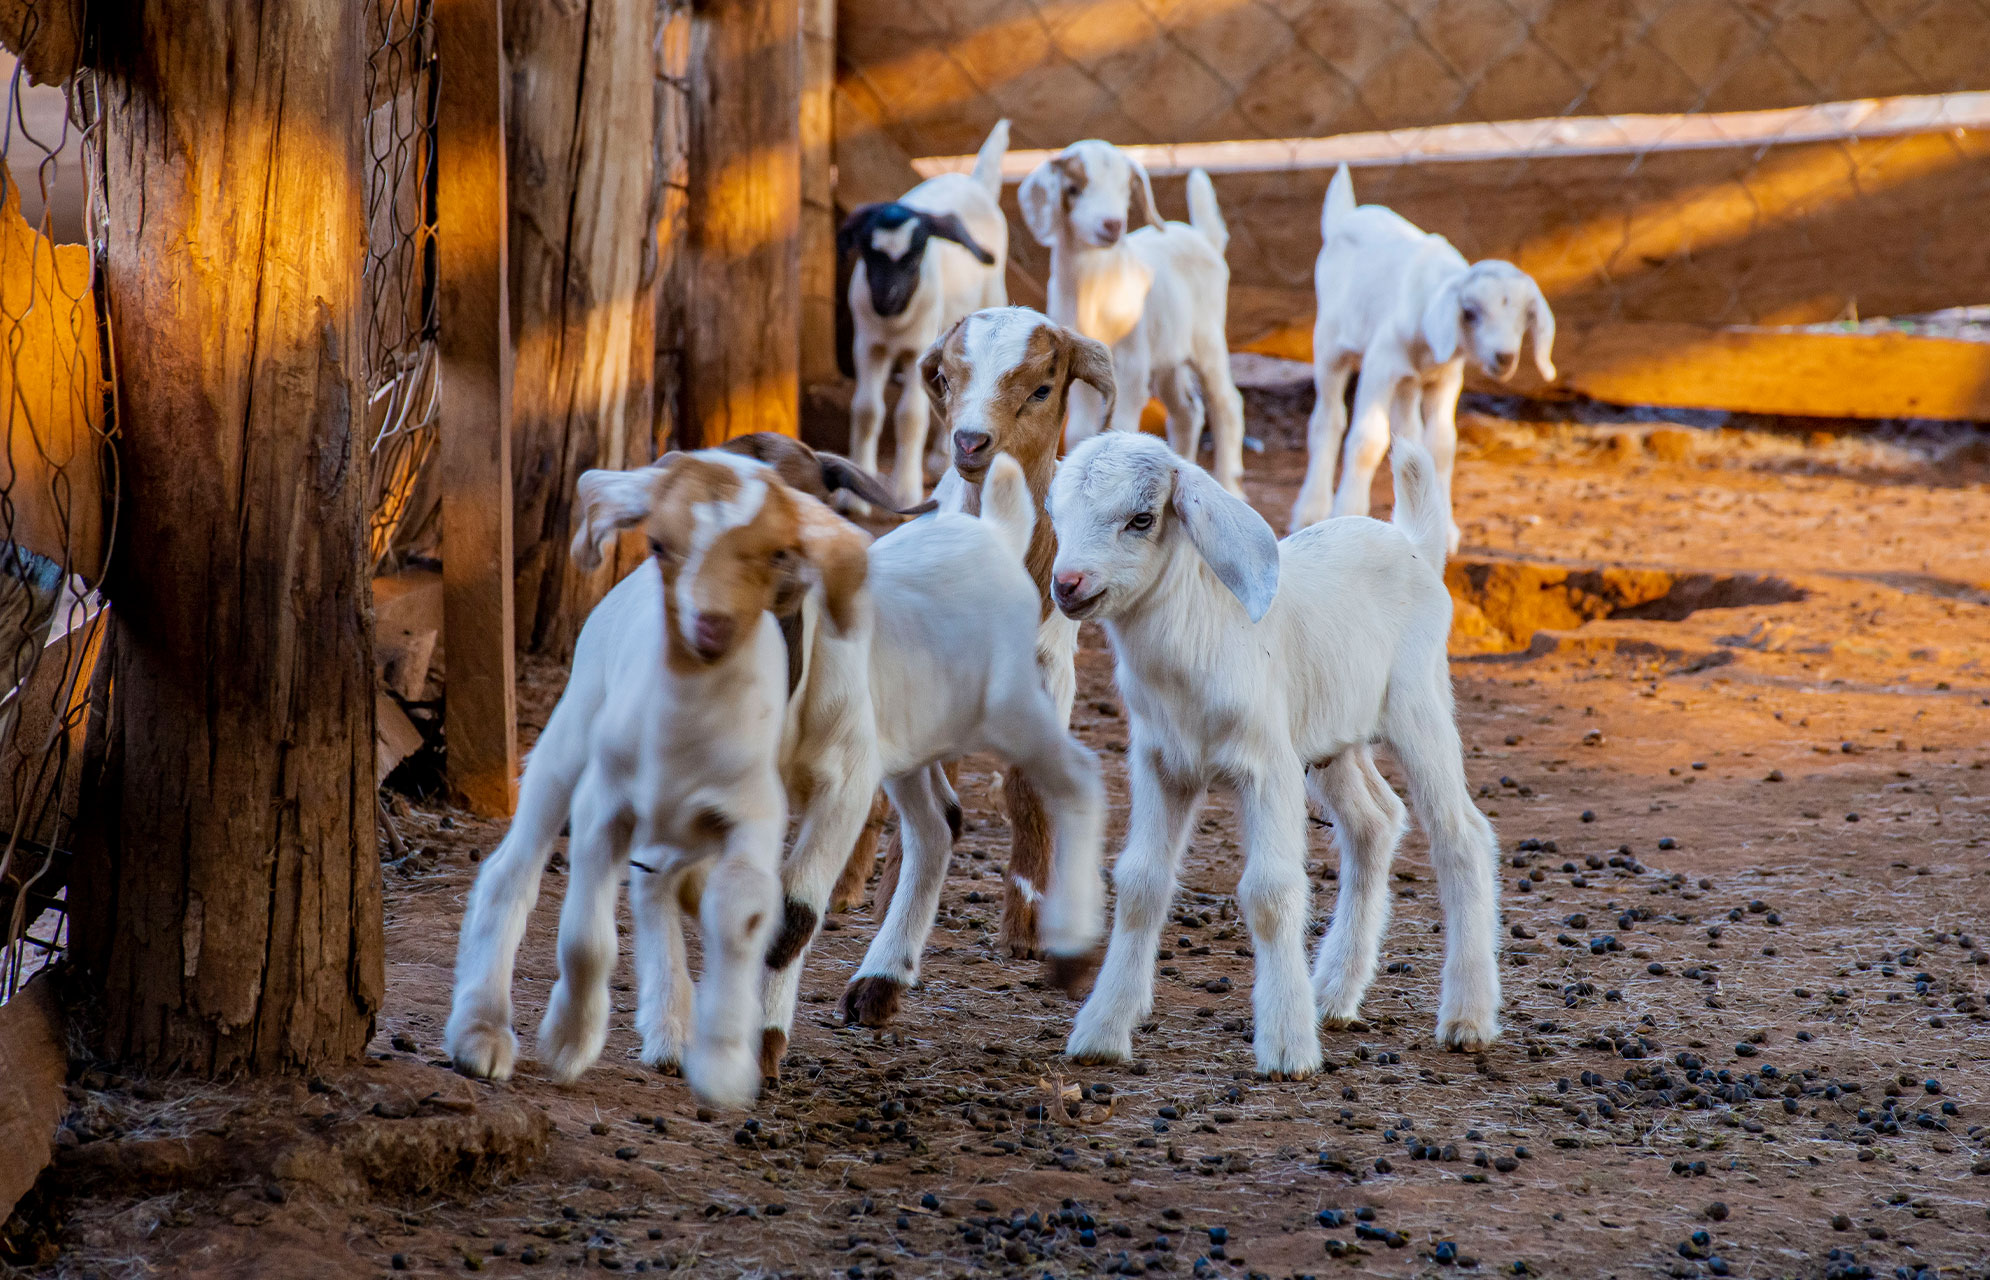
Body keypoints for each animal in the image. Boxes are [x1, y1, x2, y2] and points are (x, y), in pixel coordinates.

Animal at [444, 449, 871, 1108]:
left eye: (782, 553)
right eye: (660, 542)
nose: (711, 625)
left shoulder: (796, 797)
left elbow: (764, 914)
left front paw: (733, 1055)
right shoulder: (605, 805)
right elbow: (587, 935)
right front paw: (569, 1041)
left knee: (663, 885)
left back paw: (675, 1024)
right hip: (570, 737)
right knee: (512, 870)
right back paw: (482, 1032)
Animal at [838, 119, 1011, 510]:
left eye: (916, 255)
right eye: (868, 253)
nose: (886, 300)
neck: (894, 324)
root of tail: (975, 183)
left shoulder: (917, 347)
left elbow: (909, 415)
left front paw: (904, 490)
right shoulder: (867, 345)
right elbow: (865, 410)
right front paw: (855, 493)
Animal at [1017, 141, 1247, 496]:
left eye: (1126, 189)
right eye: (1073, 188)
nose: (1112, 224)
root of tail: (1203, 238)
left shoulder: (1130, 364)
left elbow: (1118, 428)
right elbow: (1079, 430)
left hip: (1207, 337)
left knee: (1226, 404)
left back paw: (1229, 484)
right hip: (1167, 354)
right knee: (1187, 411)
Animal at [1046, 430, 1502, 1077]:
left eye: (1142, 519)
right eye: (1055, 515)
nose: (1068, 584)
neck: (1198, 636)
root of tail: (1413, 541)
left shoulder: (1267, 766)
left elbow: (1270, 892)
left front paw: (1287, 1047)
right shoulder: (1161, 763)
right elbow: (1139, 884)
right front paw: (1102, 1030)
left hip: (1420, 703)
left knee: (1461, 835)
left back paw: (1467, 1017)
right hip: (1330, 736)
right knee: (1374, 821)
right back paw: (1332, 994)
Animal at [1290, 164, 1555, 547]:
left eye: (1524, 316)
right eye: (1470, 312)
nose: (1504, 357)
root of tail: (1346, 215)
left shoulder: (1445, 377)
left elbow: (1441, 445)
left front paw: (1443, 530)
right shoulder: (1380, 366)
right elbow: (1368, 438)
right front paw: (1348, 511)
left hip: (1409, 382)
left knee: (1407, 428)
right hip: (1329, 346)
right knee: (1327, 419)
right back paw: (1311, 510)